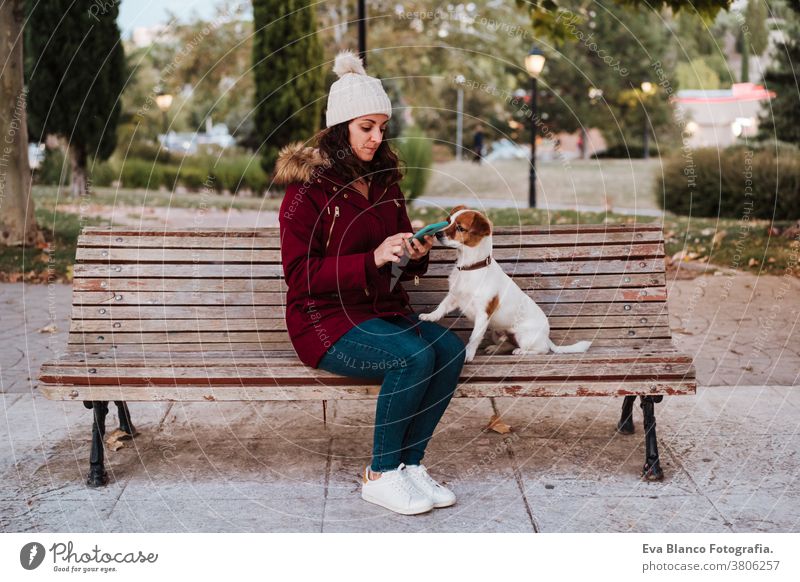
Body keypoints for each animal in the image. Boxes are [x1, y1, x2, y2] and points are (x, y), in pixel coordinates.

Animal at [422, 205, 592, 360]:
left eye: (460, 228)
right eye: (448, 222)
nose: (437, 234)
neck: (470, 268)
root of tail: (546, 337)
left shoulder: (482, 315)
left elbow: (474, 338)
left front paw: (468, 355)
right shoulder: (454, 296)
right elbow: (441, 307)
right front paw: (429, 316)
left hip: (524, 336)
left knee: (541, 350)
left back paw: (522, 351)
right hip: (497, 332)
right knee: (508, 343)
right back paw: (495, 348)